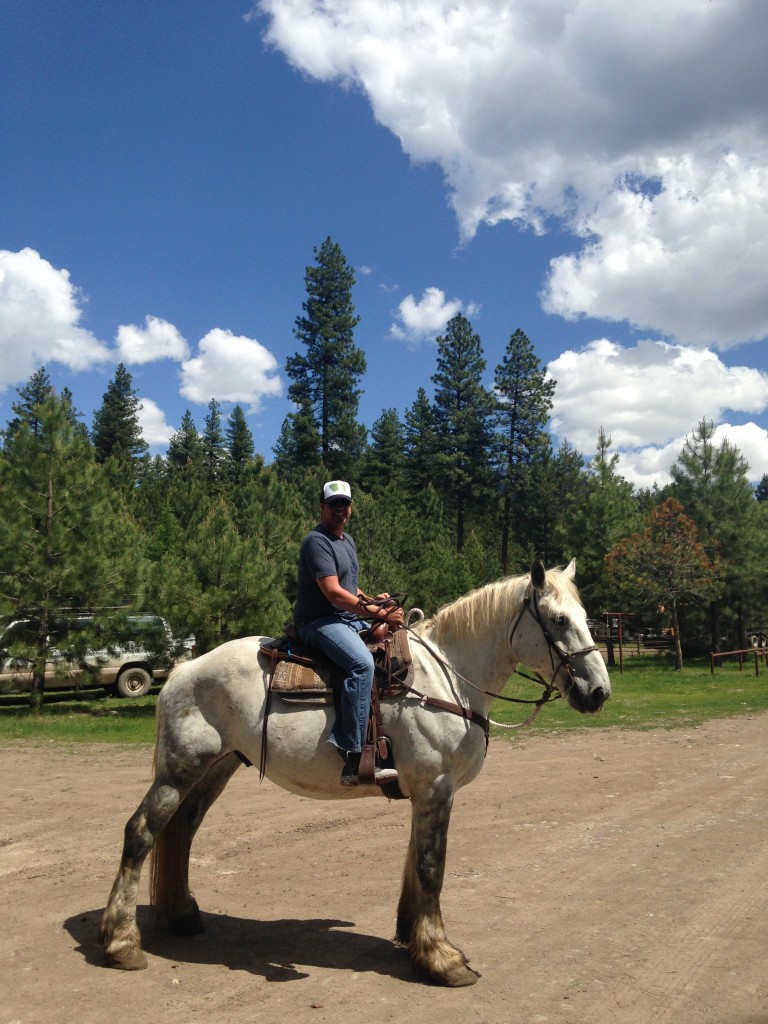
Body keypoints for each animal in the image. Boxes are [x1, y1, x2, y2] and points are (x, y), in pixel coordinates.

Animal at [99, 561, 610, 983]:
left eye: (585, 617)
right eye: (559, 620)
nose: (599, 692)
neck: (448, 677)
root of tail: (183, 671)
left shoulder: (426, 792)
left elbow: (416, 861)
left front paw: (413, 940)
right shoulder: (435, 788)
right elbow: (431, 866)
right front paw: (442, 958)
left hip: (216, 767)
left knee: (182, 831)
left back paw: (182, 915)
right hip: (179, 770)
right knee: (141, 832)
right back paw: (121, 942)